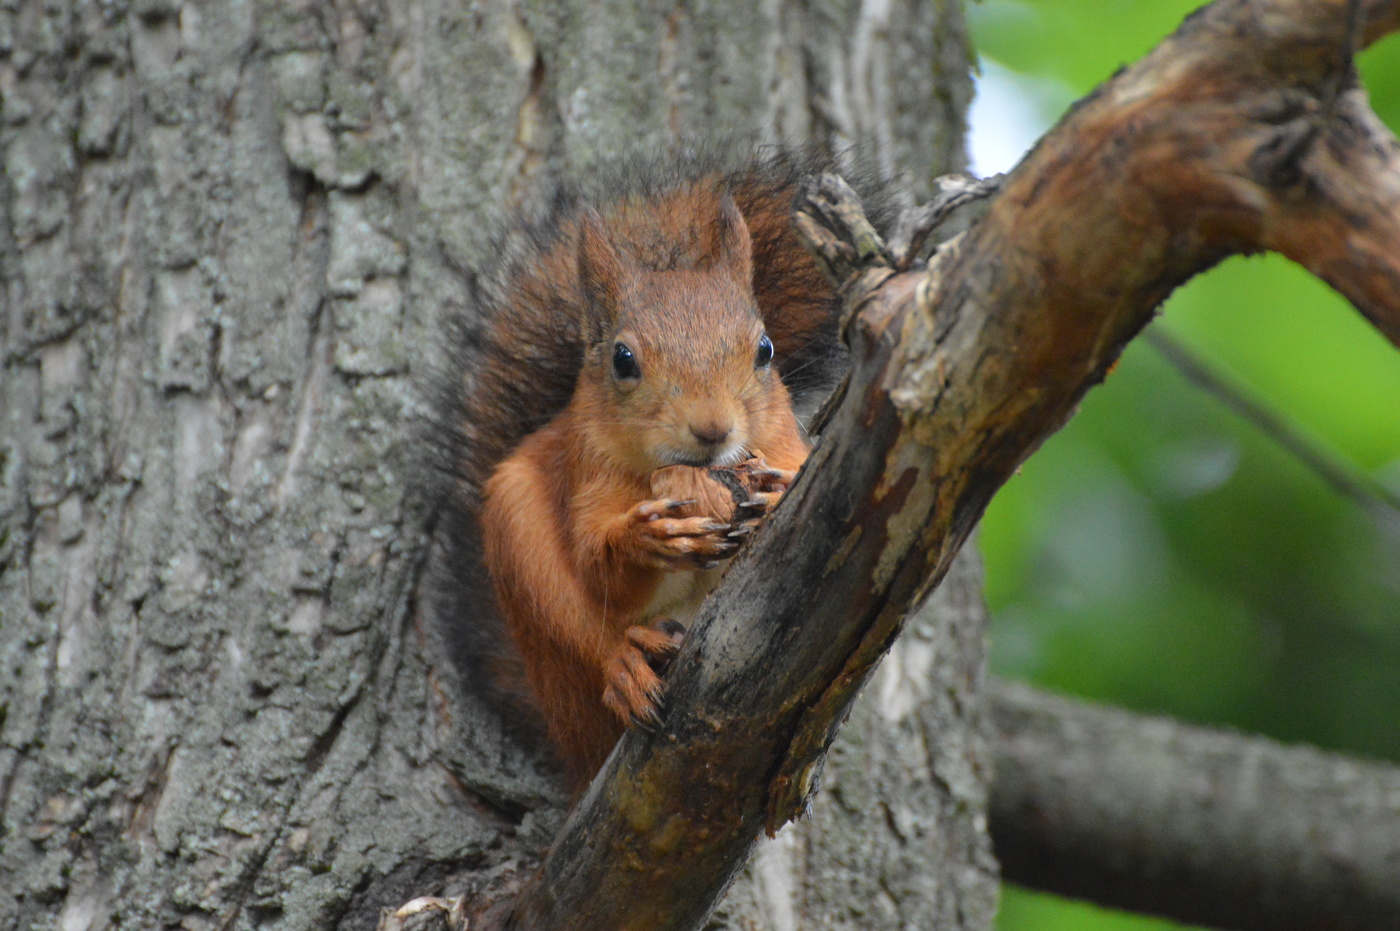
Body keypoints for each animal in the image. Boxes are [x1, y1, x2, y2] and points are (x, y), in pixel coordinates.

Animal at [427, 151, 894, 788]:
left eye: (765, 350)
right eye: (623, 359)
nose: (713, 429)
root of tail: (572, 749)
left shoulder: (793, 449)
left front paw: (774, 496)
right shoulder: (587, 475)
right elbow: (596, 566)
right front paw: (649, 536)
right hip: (519, 543)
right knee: (582, 631)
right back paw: (625, 666)